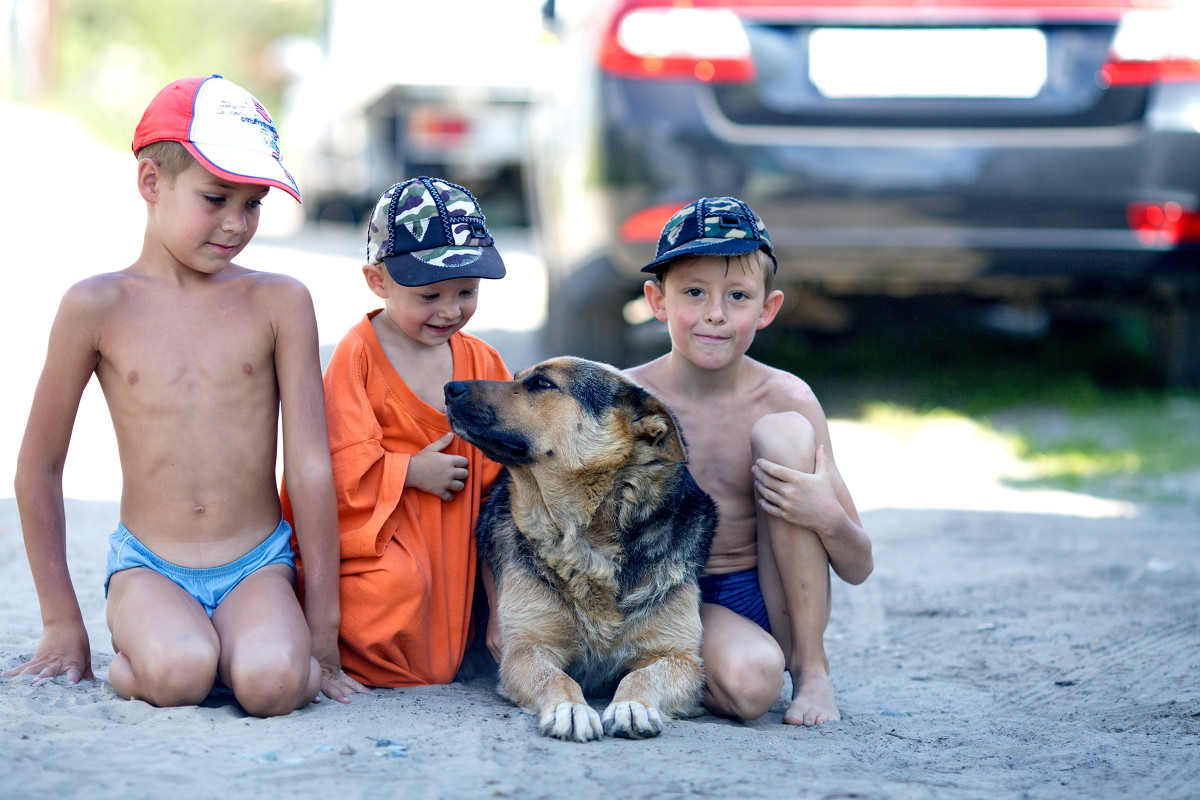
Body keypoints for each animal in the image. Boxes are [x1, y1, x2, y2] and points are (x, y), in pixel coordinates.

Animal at [448, 359, 710, 743]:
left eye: (542, 383)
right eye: (517, 378)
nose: (449, 387)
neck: (587, 540)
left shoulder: (679, 658)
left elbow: (640, 677)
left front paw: (632, 705)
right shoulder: (526, 649)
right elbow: (557, 679)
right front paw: (570, 709)